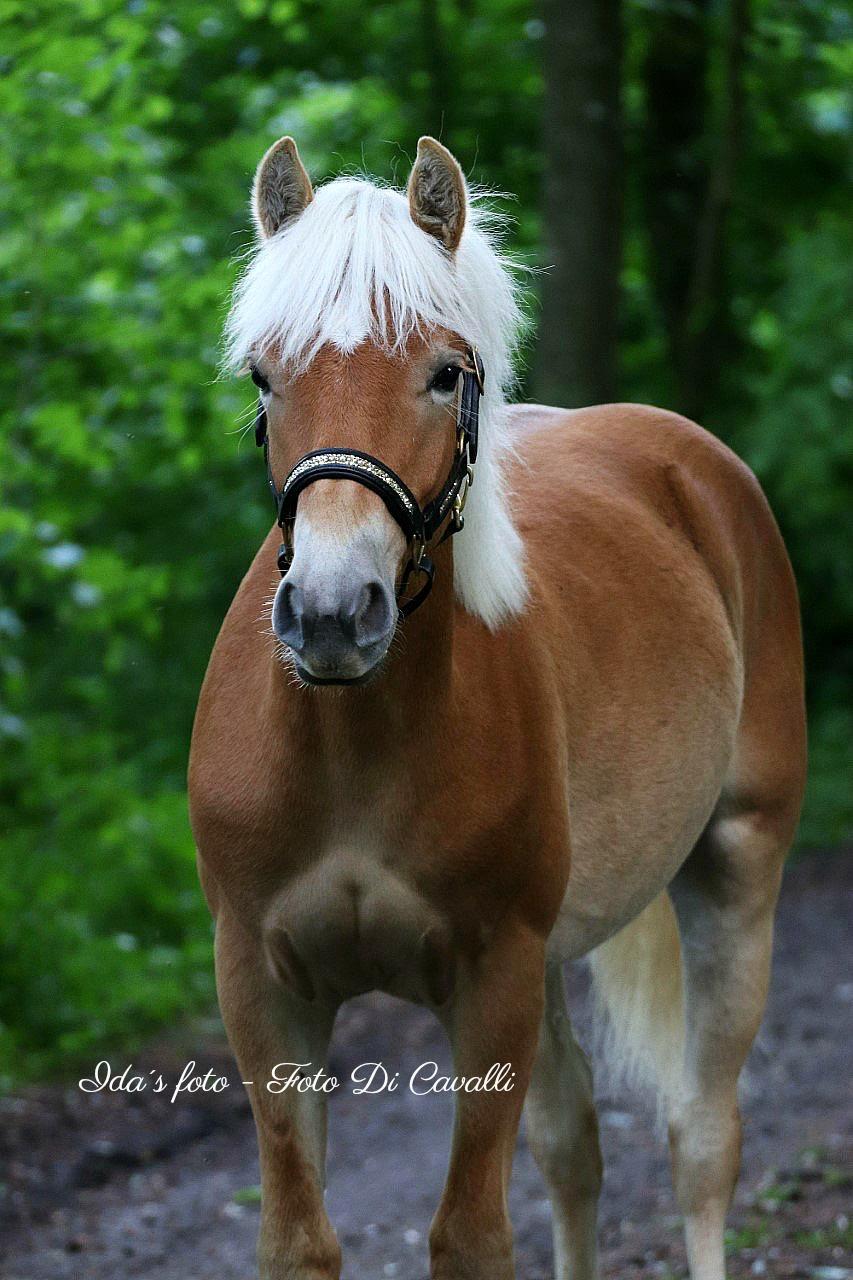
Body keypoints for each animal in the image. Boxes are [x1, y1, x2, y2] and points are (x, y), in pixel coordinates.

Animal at [185, 135, 804, 1274]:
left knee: (701, 1138)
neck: (355, 748)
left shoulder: (493, 978)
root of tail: (697, 471)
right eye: (264, 375)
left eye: (444, 373)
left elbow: (469, 1234)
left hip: (736, 867)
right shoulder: (263, 985)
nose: (332, 612)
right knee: (574, 1147)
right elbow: (300, 1236)